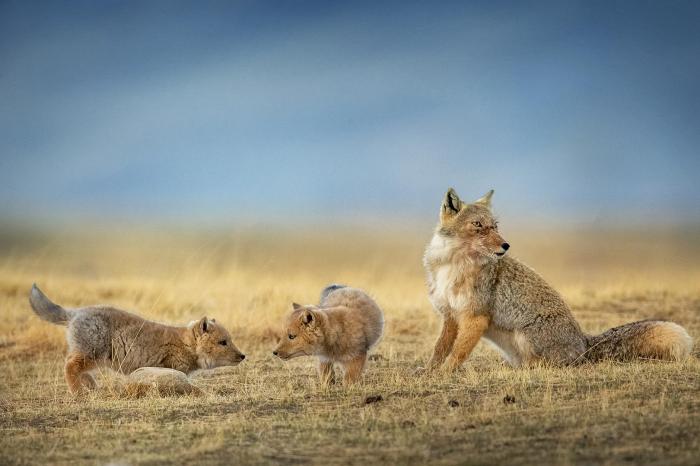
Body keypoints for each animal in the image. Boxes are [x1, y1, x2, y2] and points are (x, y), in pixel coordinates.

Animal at [29, 284, 246, 394]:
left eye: (230, 340)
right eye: (223, 342)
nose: (243, 356)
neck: (185, 344)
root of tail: (75, 312)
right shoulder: (169, 370)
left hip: (91, 357)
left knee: (79, 370)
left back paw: (91, 386)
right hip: (91, 355)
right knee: (69, 366)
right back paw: (78, 392)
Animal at [424, 187, 692, 372]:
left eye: (495, 226)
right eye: (478, 225)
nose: (505, 245)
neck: (453, 265)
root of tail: (584, 343)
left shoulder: (476, 317)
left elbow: (458, 352)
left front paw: (444, 373)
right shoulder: (451, 315)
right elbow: (440, 348)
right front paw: (430, 371)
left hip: (525, 336)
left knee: (545, 364)